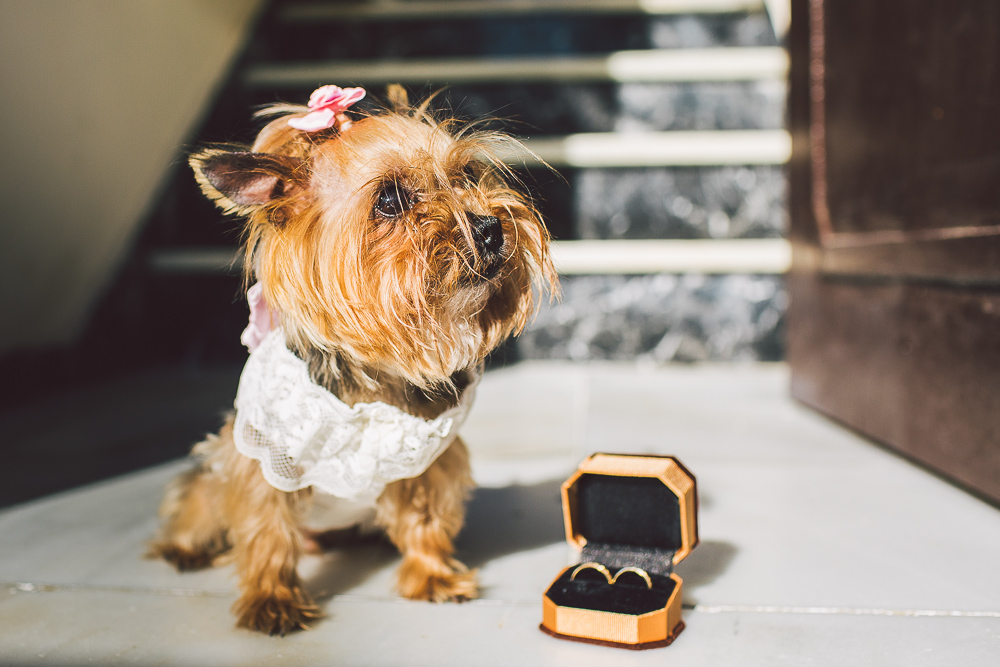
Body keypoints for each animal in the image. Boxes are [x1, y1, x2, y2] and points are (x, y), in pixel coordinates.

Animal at [148, 85, 556, 636]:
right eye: (389, 200)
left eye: (468, 174)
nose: (490, 227)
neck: (375, 380)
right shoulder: (263, 456)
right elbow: (265, 528)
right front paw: (271, 599)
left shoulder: (428, 462)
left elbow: (426, 521)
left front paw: (433, 577)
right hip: (215, 467)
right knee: (196, 502)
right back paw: (185, 548)